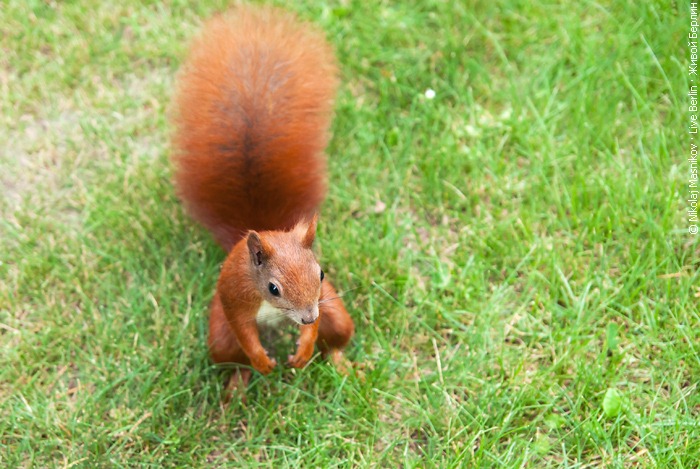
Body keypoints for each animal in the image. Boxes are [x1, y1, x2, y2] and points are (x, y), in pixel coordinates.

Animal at [170, 5, 355, 389]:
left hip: (335, 312)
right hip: (220, 338)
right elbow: (243, 330)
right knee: (233, 356)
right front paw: (263, 362)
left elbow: (316, 331)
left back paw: (340, 363)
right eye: (273, 288)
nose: (306, 317)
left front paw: (303, 350)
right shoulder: (234, 297)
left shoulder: (321, 301)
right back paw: (239, 384)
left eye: (321, 274)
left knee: (335, 337)